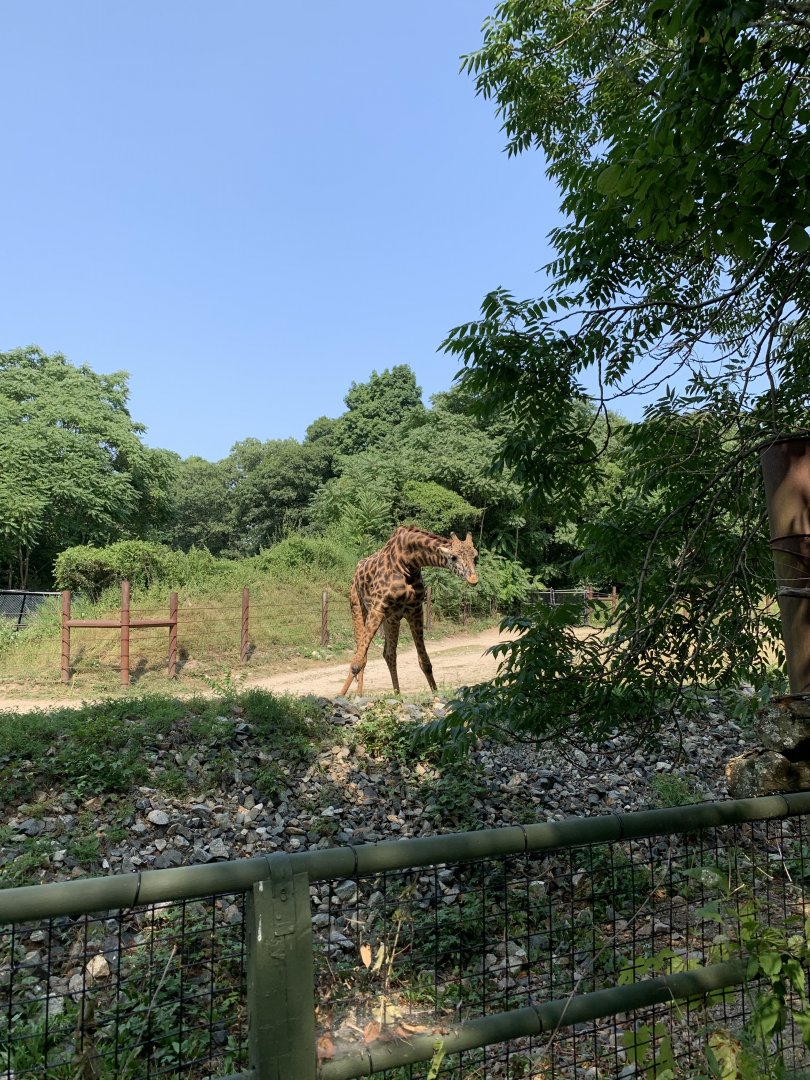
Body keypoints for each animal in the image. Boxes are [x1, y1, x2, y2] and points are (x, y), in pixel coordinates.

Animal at [339, 526, 479, 696]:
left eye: (475, 557)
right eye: (453, 557)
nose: (473, 579)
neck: (408, 562)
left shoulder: (415, 610)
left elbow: (425, 662)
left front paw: (436, 695)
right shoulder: (377, 607)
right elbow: (357, 662)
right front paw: (340, 697)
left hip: (391, 619)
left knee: (389, 654)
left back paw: (397, 695)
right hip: (358, 605)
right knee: (362, 653)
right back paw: (358, 695)